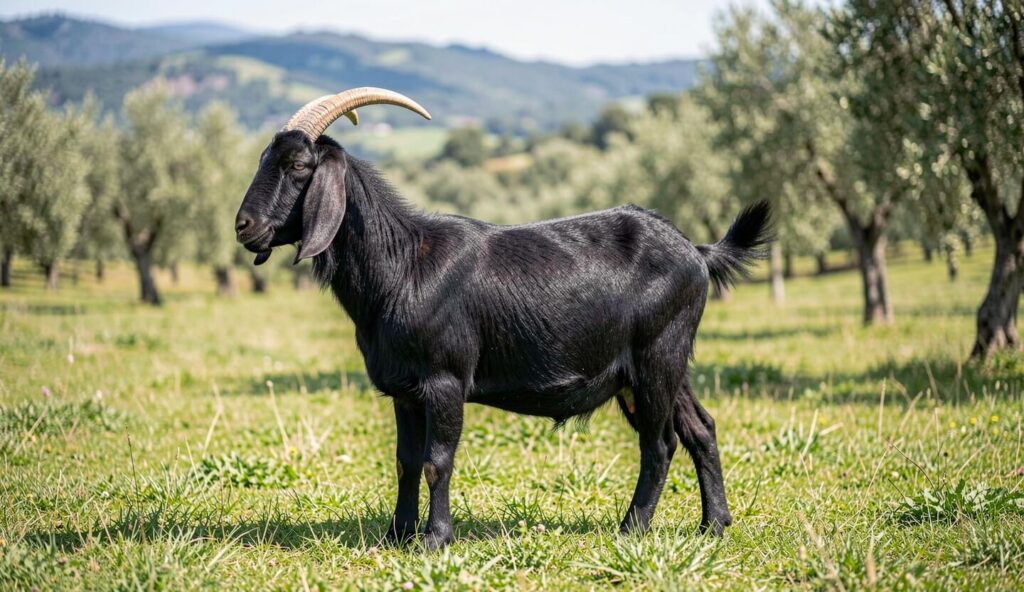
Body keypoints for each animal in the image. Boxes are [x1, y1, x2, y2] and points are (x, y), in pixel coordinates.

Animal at [235, 88, 772, 549]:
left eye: (298, 165)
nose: (244, 226)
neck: (403, 267)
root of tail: (697, 252)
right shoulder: (403, 390)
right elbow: (405, 463)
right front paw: (396, 536)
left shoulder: (445, 380)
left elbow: (436, 462)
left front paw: (434, 539)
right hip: (666, 364)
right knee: (701, 428)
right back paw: (713, 526)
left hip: (657, 357)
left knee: (659, 443)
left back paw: (632, 529)